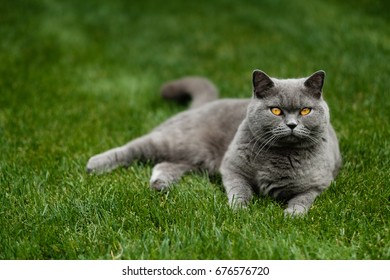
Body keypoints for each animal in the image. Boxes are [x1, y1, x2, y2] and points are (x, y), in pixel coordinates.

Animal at [86, 70, 342, 217]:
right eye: (276, 110)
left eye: (305, 110)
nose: (291, 124)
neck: (279, 156)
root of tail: (204, 105)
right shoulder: (232, 168)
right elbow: (240, 189)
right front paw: (240, 210)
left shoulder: (319, 184)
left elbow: (303, 198)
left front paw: (292, 215)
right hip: (176, 140)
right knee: (134, 147)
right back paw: (95, 164)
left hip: (192, 157)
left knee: (164, 164)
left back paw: (161, 185)